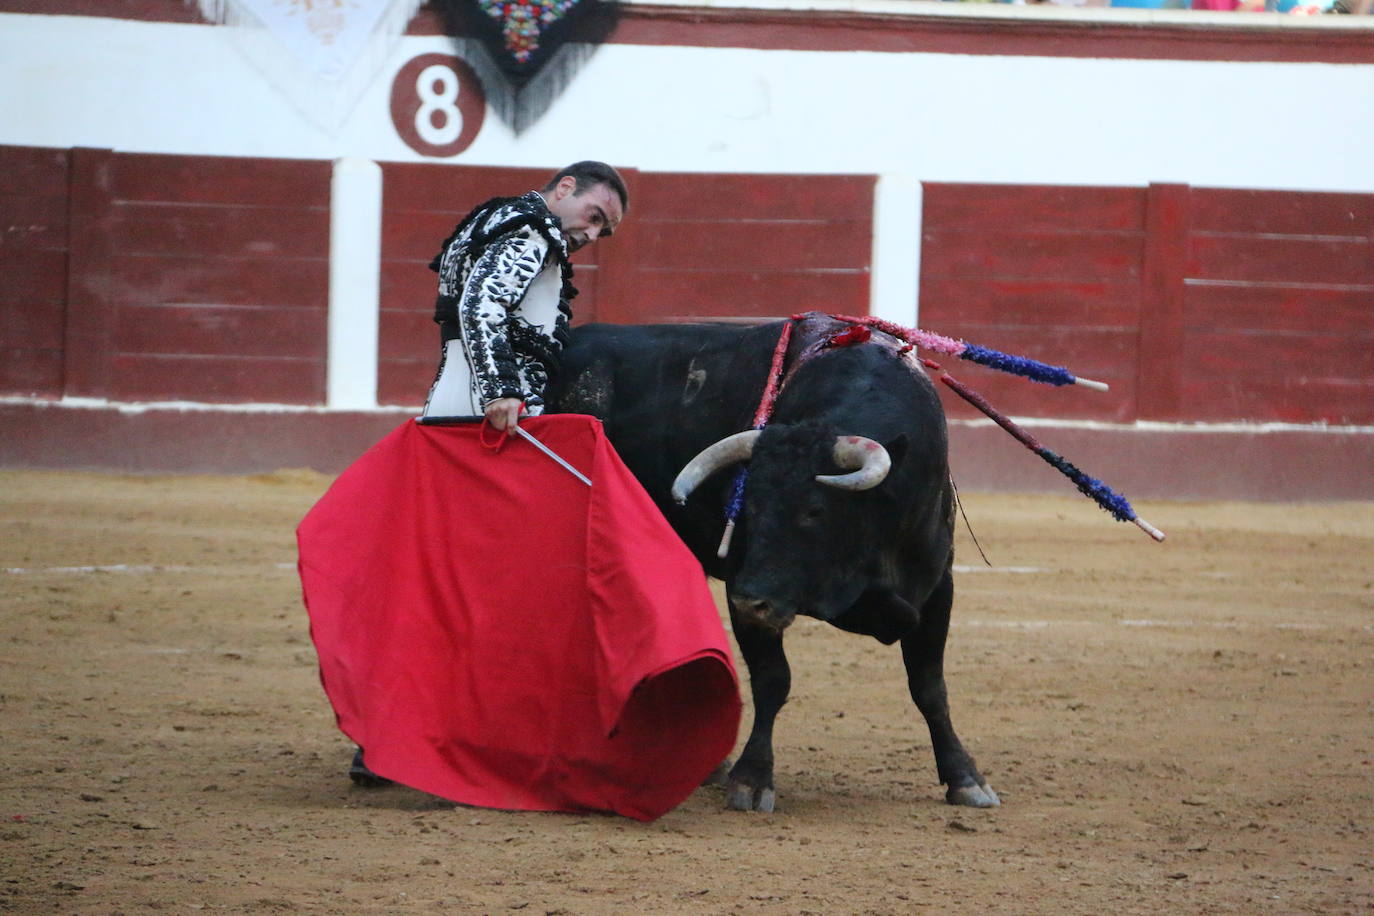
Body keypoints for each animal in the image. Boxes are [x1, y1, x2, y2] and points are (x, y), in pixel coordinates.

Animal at [546, 313, 1000, 807]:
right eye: (747, 505)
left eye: (815, 511)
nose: (752, 601)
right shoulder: (741, 583)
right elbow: (772, 679)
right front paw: (751, 778)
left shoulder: (937, 587)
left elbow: (929, 685)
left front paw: (965, 778)